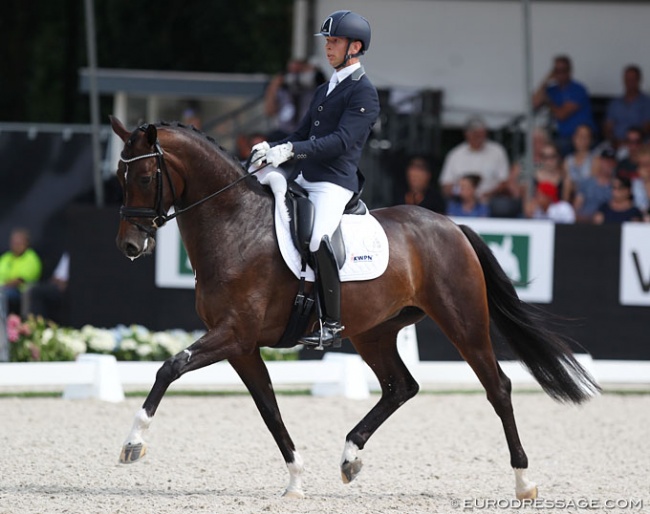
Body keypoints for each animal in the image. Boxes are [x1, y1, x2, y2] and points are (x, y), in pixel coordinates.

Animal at [110, 115, 596, 496]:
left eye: (146, 178)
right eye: (119, 177)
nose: (131, 246)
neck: (236, 227)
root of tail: (450, 225)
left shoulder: (234, 334)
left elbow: (169, 367)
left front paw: (132, 443)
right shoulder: (242, 347)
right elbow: (269, 408)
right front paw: (295, 480)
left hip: (464, 322)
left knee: (498, 388)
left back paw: (524, 482)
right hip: (374, 332)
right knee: (401, 387)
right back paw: (350, 456)